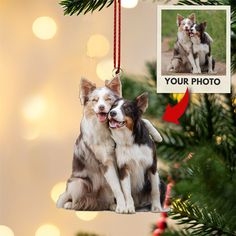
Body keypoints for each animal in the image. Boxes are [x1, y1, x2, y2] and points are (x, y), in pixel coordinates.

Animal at [56, 76, 165, 213]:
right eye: (95, 100)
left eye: (108, 99)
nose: (102, 108)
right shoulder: (107, 163)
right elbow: (119, 189)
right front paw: (123, 207)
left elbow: (144, 120)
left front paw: (156, 135)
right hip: (78, 183)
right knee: (79, 200)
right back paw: (72, 204)